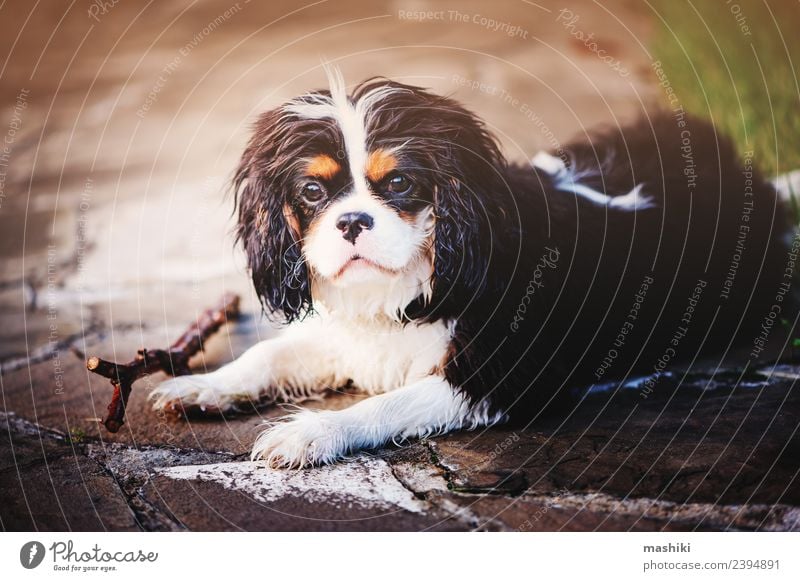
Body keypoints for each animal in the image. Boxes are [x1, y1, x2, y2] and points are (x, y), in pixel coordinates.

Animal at [148, 68, 792, 466]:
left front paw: (311, 431)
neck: (412, 283)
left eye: (399, 183)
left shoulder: (499, 374)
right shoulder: (347, 334)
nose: (351, 222)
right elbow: (268, 354)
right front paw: (204, 385)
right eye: (311, 192)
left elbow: (383, 405)